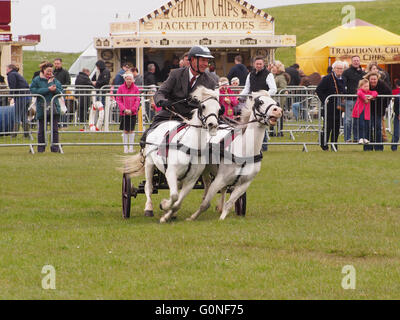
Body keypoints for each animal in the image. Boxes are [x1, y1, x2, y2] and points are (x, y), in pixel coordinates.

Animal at [123, 86, 220, 224]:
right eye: (203, 106)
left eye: (219, 109)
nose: (213, 125)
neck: (191, 146)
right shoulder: (171, 172)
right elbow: (174, 196)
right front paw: (164, 206)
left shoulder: (191, 180)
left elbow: (178, 201)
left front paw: (167, 214)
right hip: (149, 164)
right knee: (148, 187)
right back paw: (148, 208)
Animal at [189, 90, 282, 220]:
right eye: (260, 102)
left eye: (275, 102)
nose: (278, 111)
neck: (245, 152)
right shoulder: (219, 179)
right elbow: (206, 203)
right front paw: (192, 217)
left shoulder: (244, 184)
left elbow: (230, 203)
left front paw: (222, 218)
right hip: (205, 169)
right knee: (207, 185)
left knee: (219, 189)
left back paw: (219, 207)